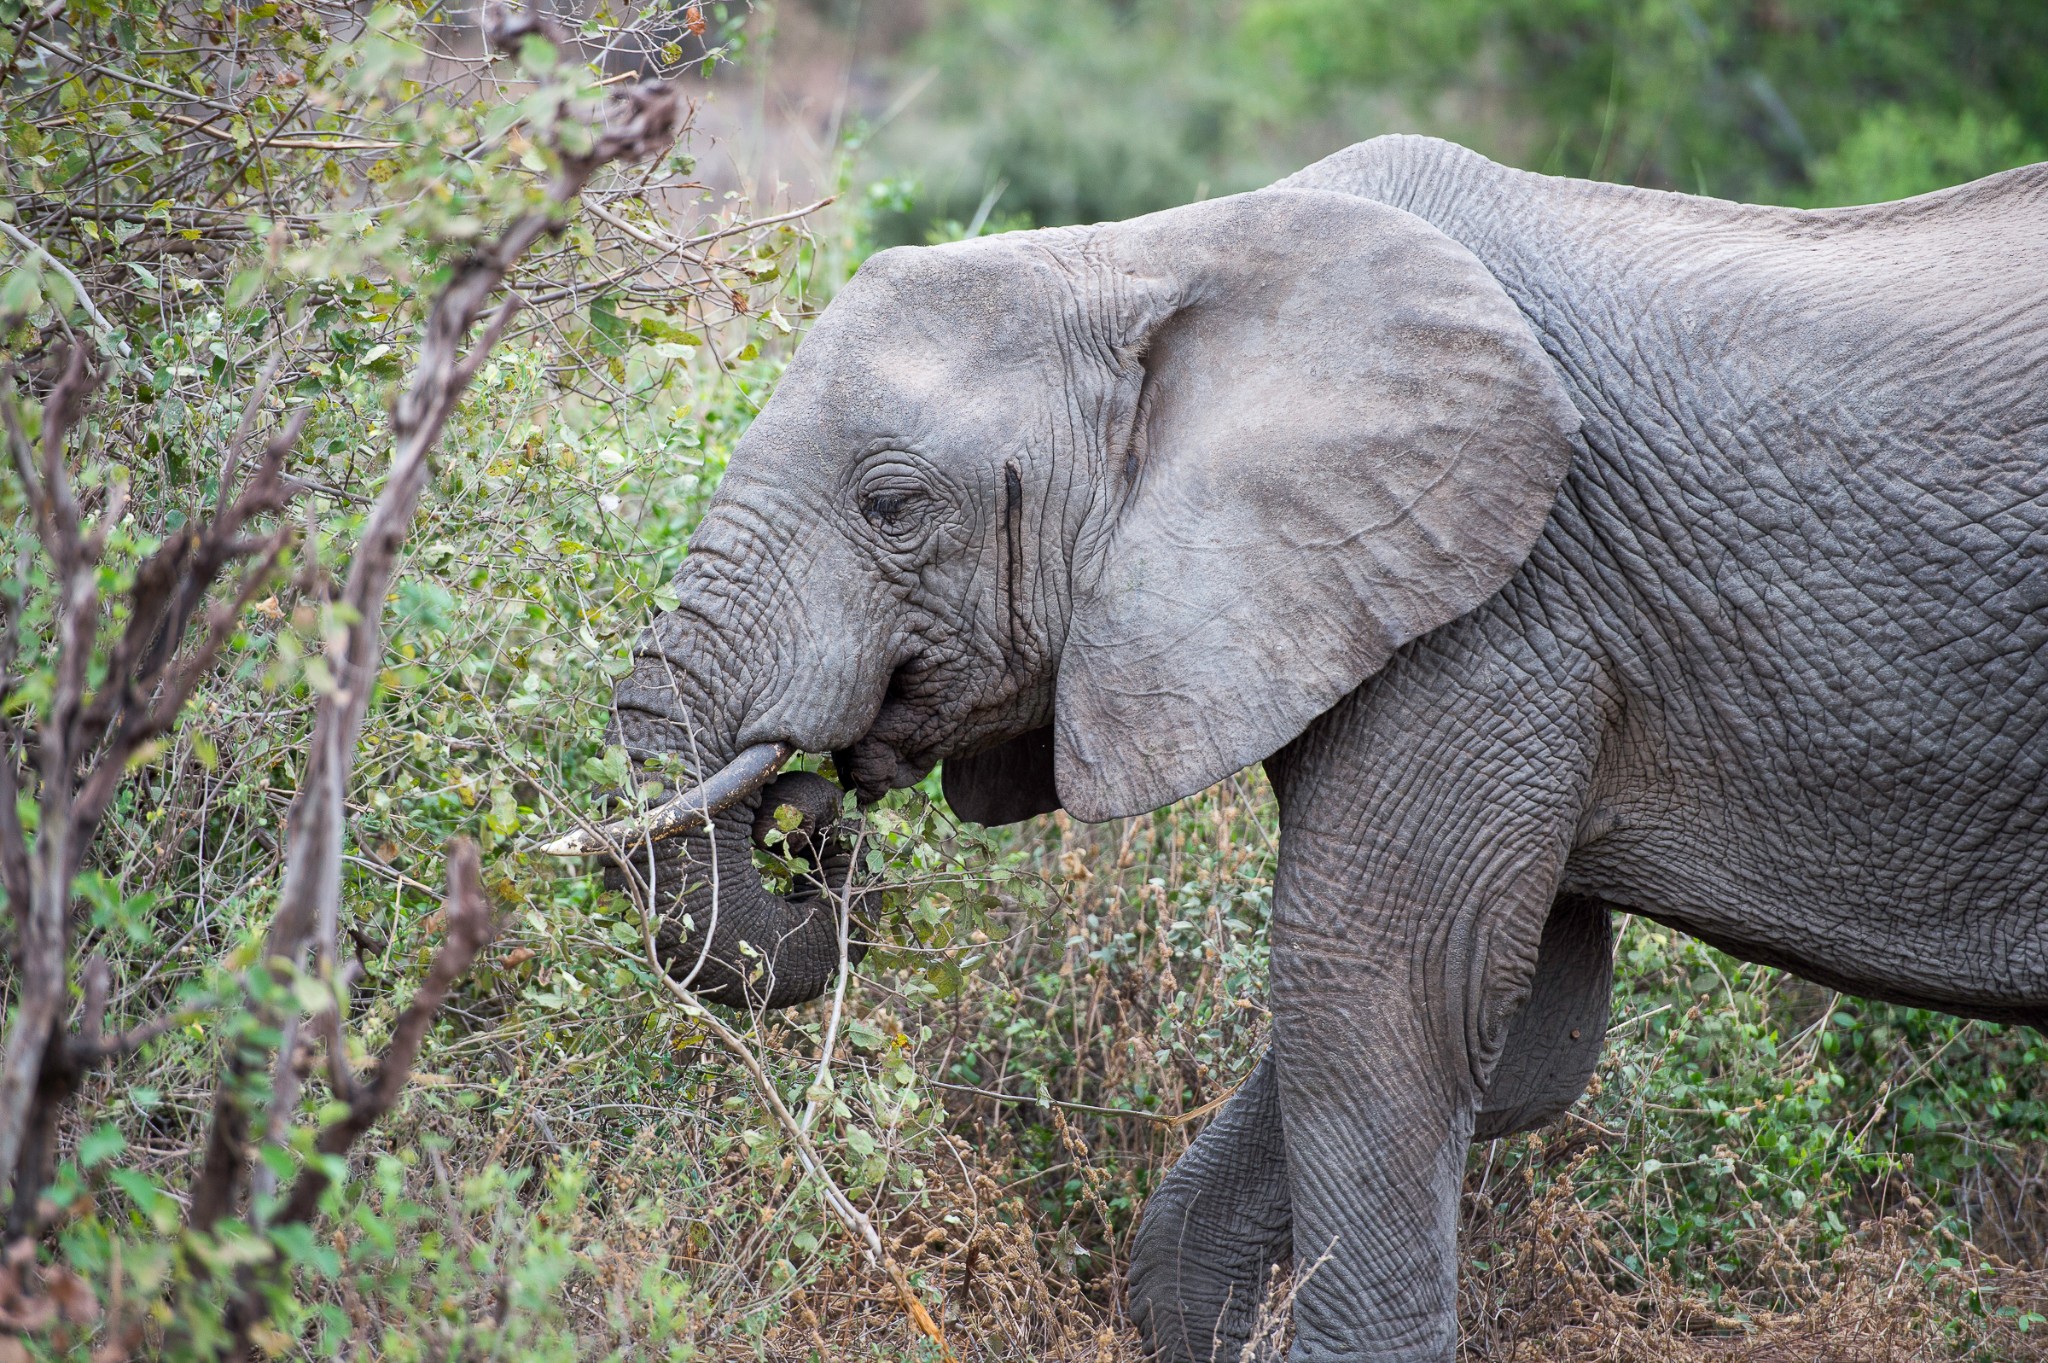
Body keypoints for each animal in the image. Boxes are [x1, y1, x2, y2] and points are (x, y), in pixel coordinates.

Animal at [552, 133, 2048, 1350]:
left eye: (892, 503)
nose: (815, 824)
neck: (1162, 252)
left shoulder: (1500, 596)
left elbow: (1380, 995)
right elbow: (1519, 1040)